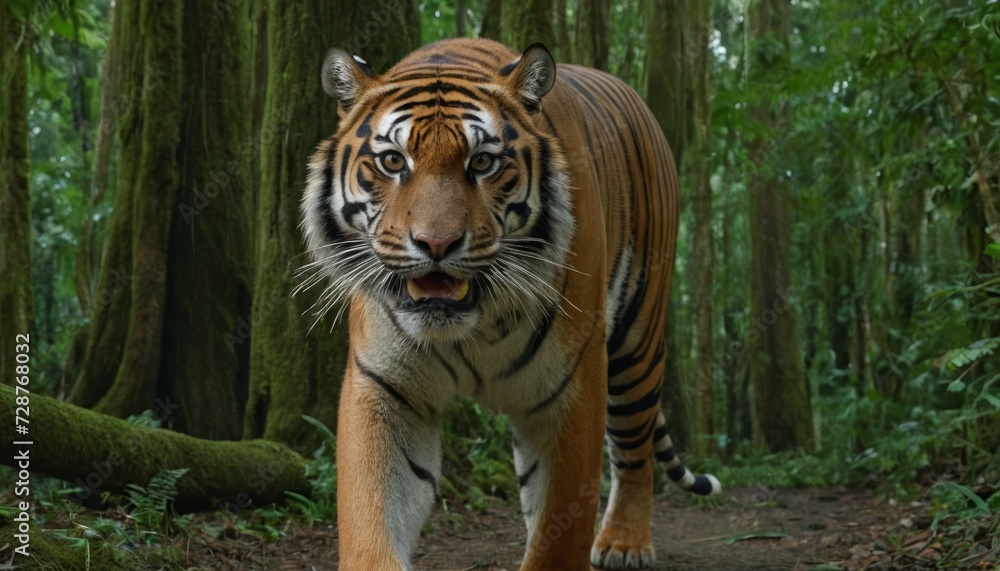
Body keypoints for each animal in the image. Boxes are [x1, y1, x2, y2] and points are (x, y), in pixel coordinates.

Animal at [299, 37, 720, 570]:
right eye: (393, 161)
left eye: (482, 163)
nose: (436, 243)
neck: (471, 326)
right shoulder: (383, 387)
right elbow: (371, 517)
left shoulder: (574, 386)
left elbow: (560, 530)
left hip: (637, 342)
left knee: (634, 451)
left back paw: (624, 544)